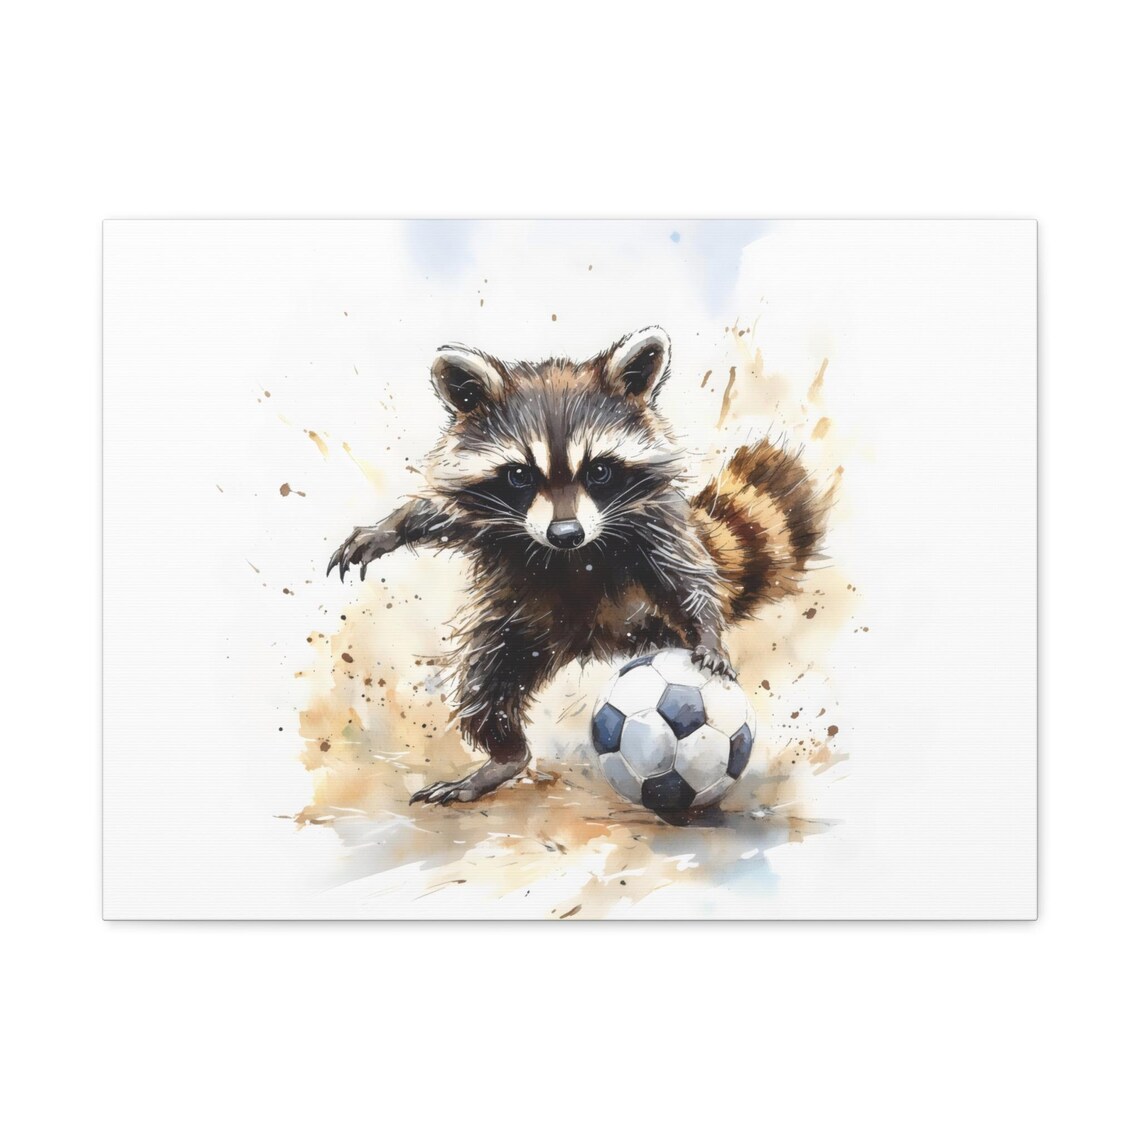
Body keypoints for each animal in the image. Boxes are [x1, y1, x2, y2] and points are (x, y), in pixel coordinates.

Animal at [328, 327, 831, 805]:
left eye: (599, 471)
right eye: (519, 475)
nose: (565, 533)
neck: (571, 558)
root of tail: (596, 639)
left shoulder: (652, 520)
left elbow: (684, 576)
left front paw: (708, 632)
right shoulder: (486, 513)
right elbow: (436, 514)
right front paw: (390, 527)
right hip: (519, 627)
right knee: (485, 683)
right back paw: (506, 755)